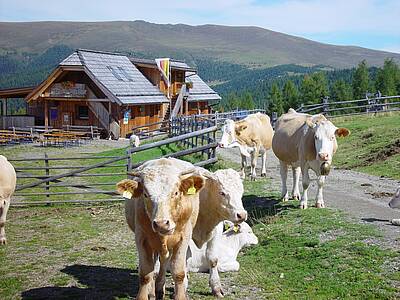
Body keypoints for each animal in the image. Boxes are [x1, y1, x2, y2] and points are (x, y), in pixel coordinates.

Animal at [115, 158, 203, 298]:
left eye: (176, 192)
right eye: (145, 194)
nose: (161, 223)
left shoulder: (184, 237)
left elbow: (178, 272)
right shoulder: (141, 238)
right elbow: (146, 273)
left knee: (164, 261)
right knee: (155, 267)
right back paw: (153, 291)